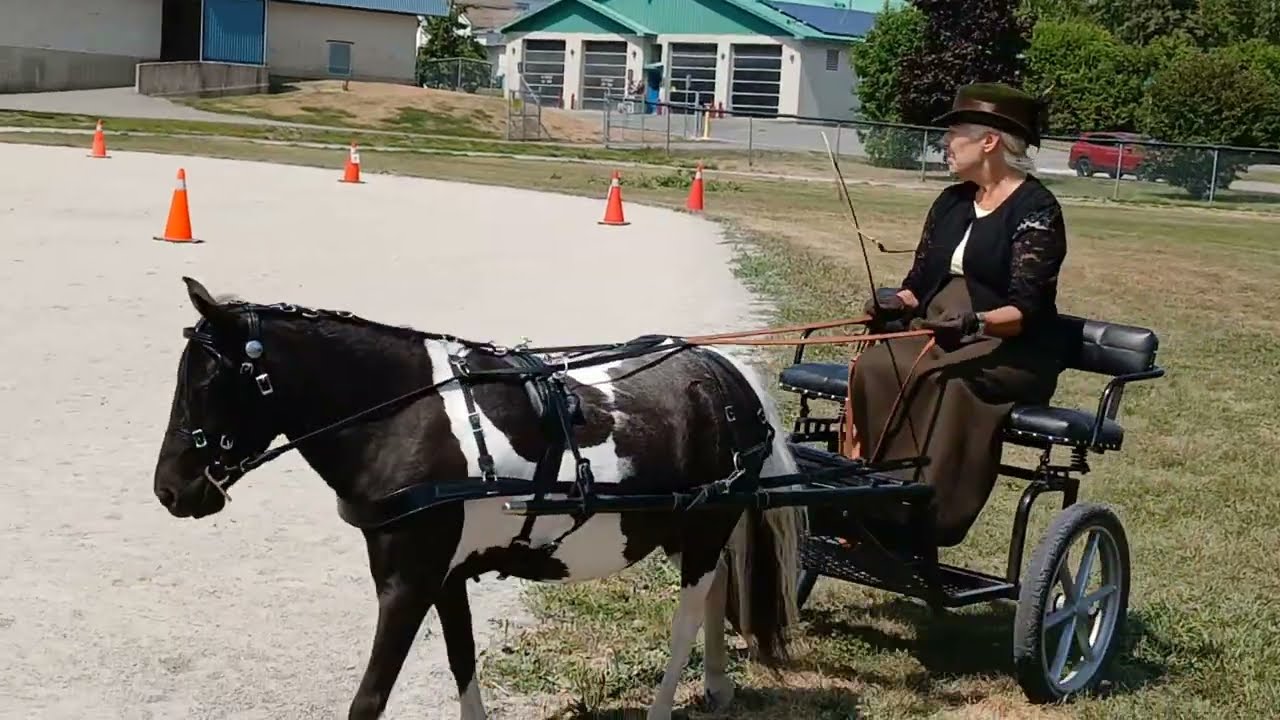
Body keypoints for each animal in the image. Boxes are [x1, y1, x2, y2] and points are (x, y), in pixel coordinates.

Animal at [151, 277, 806, 720]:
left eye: (205, 382)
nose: (169, 490)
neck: (404, 417)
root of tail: (723, 371)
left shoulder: (407, 584)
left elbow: (369, 698)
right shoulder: (445, 577)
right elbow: (461, 660)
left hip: (703, 529)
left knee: (686, 620)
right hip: (683, 529)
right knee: (719, 586)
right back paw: (717, 685)